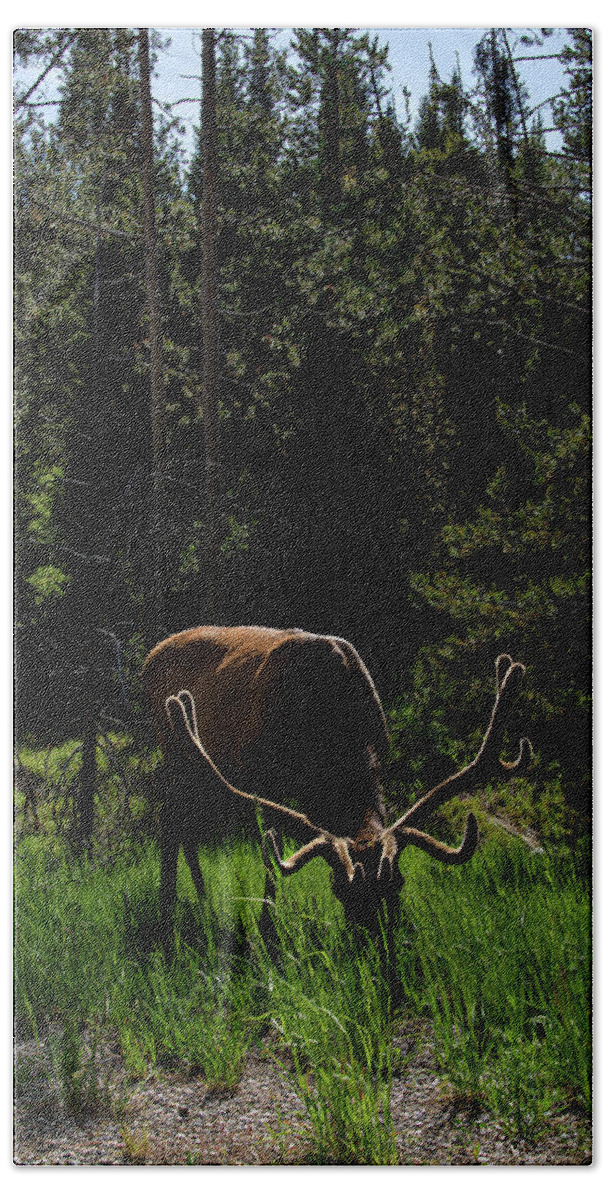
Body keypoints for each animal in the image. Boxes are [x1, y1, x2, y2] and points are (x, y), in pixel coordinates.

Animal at [142, 624, 532, 950]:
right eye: (339, 890)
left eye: (398, 883)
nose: (378, 945)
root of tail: (149, 658)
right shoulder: (264, 776)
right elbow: (271, 857)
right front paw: (267, 929)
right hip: (175, 752)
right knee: (169, 821)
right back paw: (166, 910)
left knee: (186, 827)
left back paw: (202, 900)